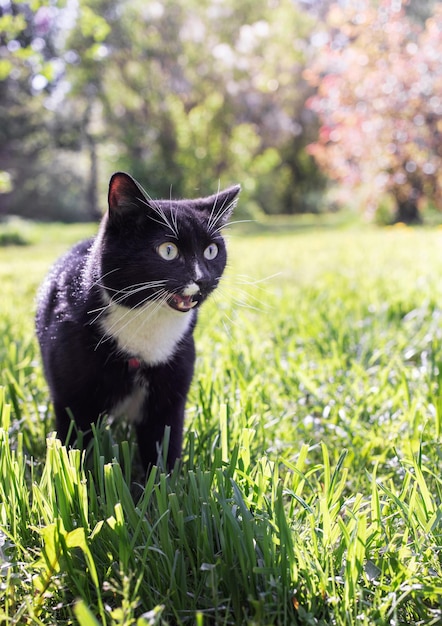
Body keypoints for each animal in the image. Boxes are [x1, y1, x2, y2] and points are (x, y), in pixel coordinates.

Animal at [36, 171, 240, 468]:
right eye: (168, 250)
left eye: (211, 251)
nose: (202, 278)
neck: (147, 321)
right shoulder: (73, 399)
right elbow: (76, 447)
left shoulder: (171, 392)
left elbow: (164, 447)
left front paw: (166, 479)